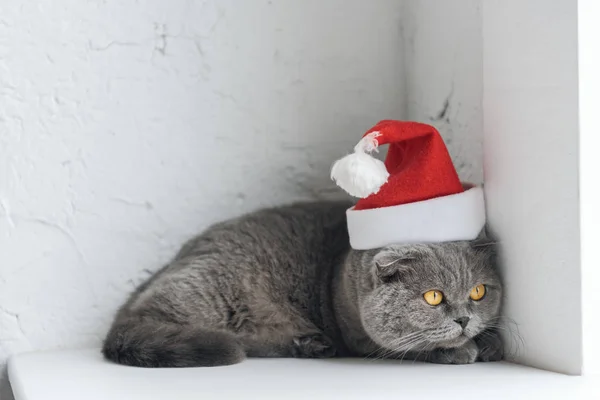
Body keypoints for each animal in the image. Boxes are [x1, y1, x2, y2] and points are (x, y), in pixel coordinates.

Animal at [102, 202, 502, 368]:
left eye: (478, 292)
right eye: (433, 297)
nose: (464, 319)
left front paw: (490, 343)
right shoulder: (359, 335)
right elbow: (406, 348)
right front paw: (462, 351)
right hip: (211, 291)